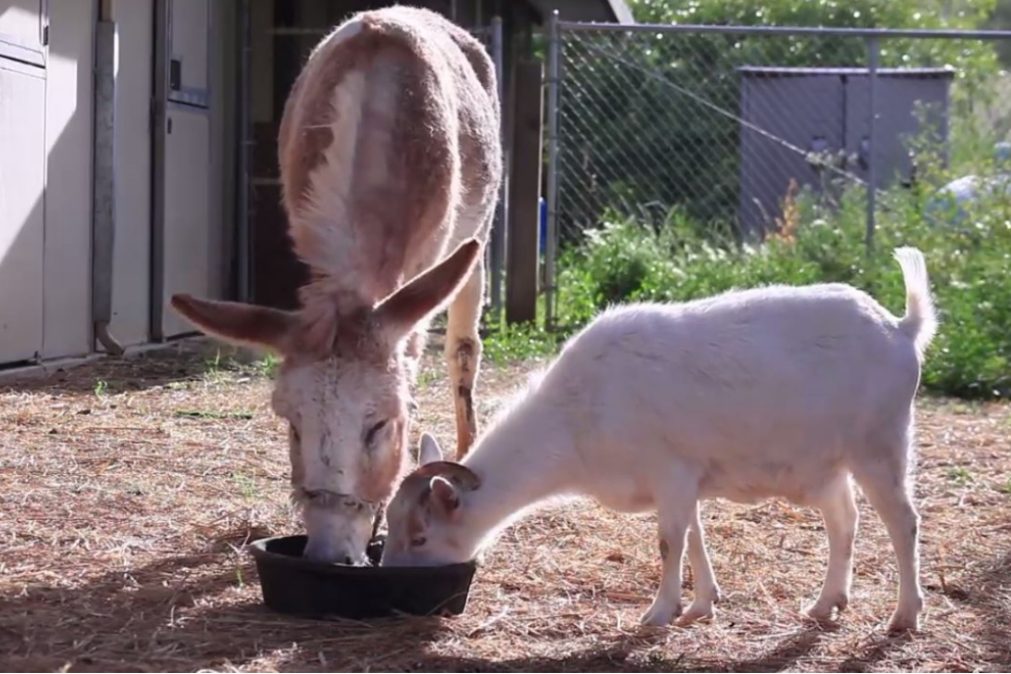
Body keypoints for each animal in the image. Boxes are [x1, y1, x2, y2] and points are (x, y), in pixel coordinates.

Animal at [380, 246, 938, 634]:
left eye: (420, 536)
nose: (393, 579)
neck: (577, 413)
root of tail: (902, 329)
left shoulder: (671, 470)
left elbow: (670, 542)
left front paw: (659, 613)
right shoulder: (686, 480)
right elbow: (693, 537)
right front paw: (701, 605)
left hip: (880, 442)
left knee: (903, 521)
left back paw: (905, 616)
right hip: (826, 465)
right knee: (844, 520)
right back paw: (825, 605)